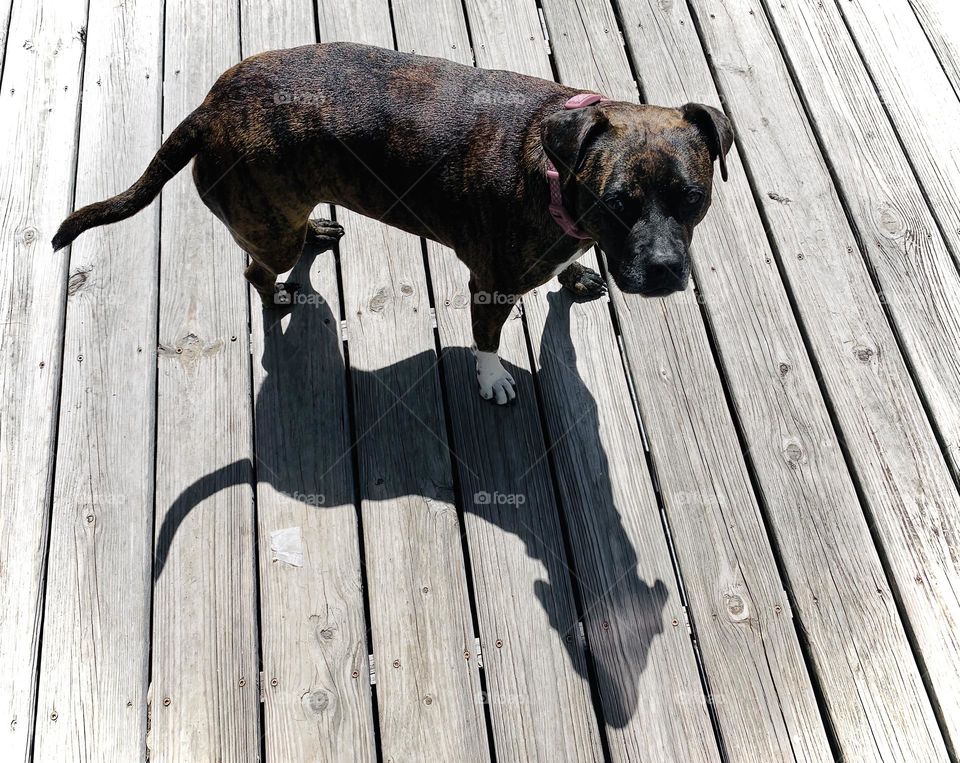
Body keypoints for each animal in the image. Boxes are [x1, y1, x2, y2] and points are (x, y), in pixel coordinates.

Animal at [54, 41, 728, 406]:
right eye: (616, 203)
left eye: (693, 198)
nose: (664, 271)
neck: (552, 167)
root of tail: (211, 107)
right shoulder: (490, 286)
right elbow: (487, 340)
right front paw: (491, 379)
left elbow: (569, 268)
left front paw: (579, 275)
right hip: (267, 227)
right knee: (257, 270)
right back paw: (276, 296)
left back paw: (317, 235)